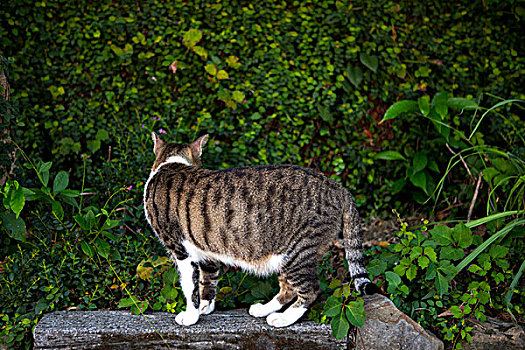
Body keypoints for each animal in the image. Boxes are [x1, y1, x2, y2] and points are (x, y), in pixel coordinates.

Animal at [143, 133, 378, 328]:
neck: (172, 164)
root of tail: (339, 188)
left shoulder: (180, 250)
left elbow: (189, 286)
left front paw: (191, 316)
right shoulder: (207, 251)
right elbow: (207, 280)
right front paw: (205, 307)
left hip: (298, 251)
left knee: (310, 289)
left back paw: (282, 319)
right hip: (285, 256)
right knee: (288, 288)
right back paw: (264, 309)